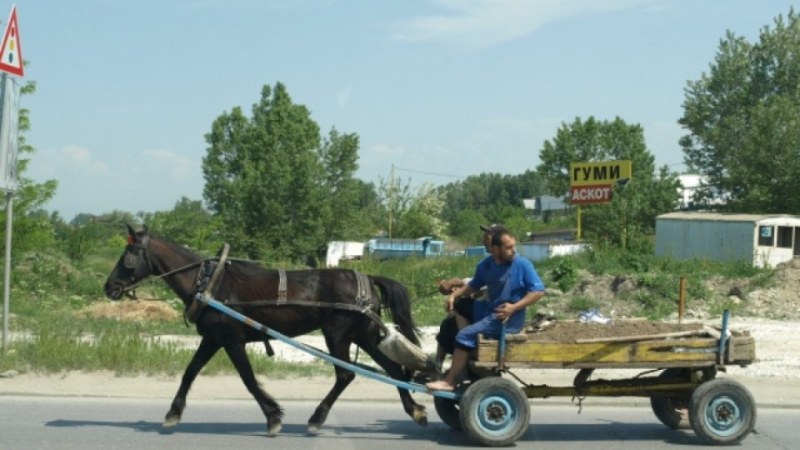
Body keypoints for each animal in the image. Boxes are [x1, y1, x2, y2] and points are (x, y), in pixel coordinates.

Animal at [104, 225, 428, 436]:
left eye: (129, 254)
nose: (109, 287)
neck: (209, 284)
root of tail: (367, 278)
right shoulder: (213, 339)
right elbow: (190, 372)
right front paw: (173, 413)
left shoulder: (231, 340)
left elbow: (248, 379)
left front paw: (273, 417)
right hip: (365, 335)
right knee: (394, 369)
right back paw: (415, 410)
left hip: (338, 334)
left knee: (346, 375)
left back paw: (316, 418)